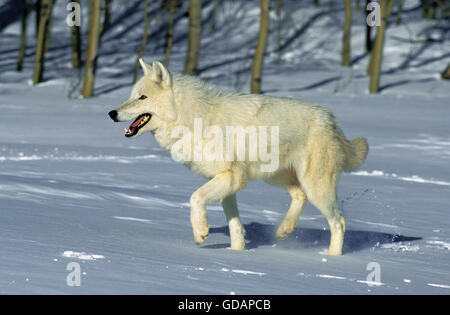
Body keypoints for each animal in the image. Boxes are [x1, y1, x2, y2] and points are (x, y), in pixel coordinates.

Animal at [107, 59, 368, 256]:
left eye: (142, 97)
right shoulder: (228, 183)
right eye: (131, 95)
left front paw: (201, 232)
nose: (111, 113)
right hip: (278, 178)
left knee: (339, 222)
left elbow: (195, 198)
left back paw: (333, 258)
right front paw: (237, 253)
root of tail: (331, 120)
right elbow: (235, 226)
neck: (195, 119)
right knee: (300, 197)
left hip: (315, 187)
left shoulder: (231, 177)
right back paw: (284, 229)